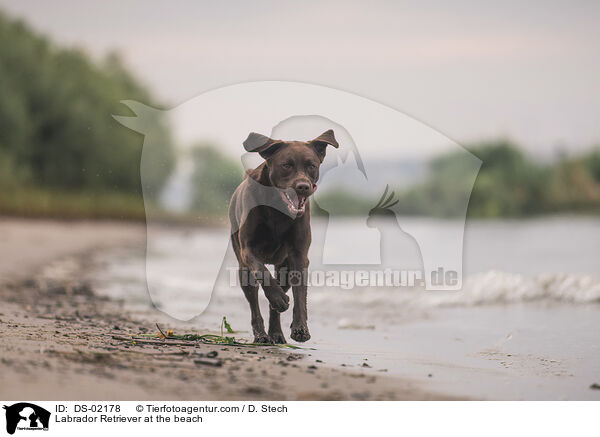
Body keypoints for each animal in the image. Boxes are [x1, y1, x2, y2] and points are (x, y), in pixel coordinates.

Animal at [227, 129, 338, 344]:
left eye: (311, 165)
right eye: (286, 165)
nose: (303, 186)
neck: (277, 207)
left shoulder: (298, 255)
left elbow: (300, 294)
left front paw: (300, 328)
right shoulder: (247, 249)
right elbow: (262, 271)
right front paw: (278, 297)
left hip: (284, 266)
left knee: (278, 296)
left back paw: (276, 333)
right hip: (243, 269)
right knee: (254, 302)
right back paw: (261, 334)